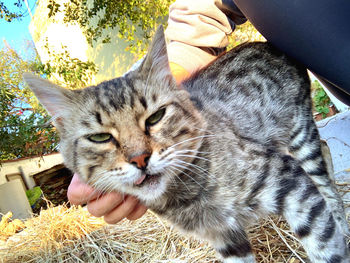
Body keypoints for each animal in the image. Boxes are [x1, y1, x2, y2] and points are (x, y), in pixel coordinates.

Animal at [24, 25, 348, 262]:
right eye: (101, 137)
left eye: (155, 117)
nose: (140, 158)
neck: (186, 197)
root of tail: (265, 43)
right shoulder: (225, 238)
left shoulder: (288, 182)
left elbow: (326, 248)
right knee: (325, 148)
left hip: (299, 132)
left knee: (323, 176)